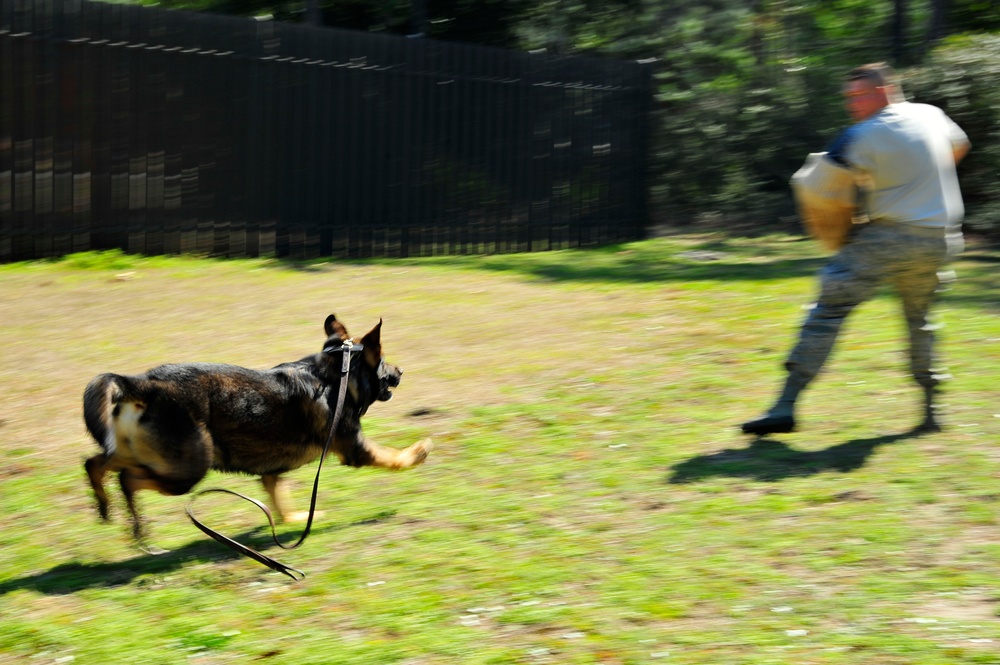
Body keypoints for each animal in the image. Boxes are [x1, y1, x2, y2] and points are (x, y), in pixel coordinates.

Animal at [83, 314, 430, 548]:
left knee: (96, 463)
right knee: (127, 478)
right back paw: (133, 524)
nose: (401, 371)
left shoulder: (271, 472)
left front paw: (293, 520)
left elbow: (279, 496)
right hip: (188, 466)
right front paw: (417, 452)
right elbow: (391, 456)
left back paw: (107, 508)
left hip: (142, 452)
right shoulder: (355, 448)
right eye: (384, 361)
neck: (337, 375)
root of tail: (144, 383)